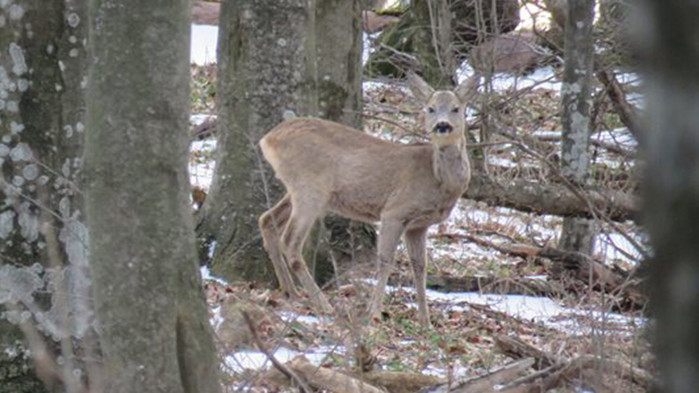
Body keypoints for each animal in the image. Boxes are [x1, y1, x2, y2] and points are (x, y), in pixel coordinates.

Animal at [260, 72, 478, 324]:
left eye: (456, 108)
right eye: (430, 108)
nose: (442, 125)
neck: (437, 178)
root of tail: (268, 138)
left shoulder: (418, 226)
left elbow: (420, 267)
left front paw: (426, 322)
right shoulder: (394, 211)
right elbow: (385, 260)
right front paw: (374, 312)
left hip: (298, 189)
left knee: (267, 220)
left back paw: (291, 292)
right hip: (310, 188)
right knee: (290, 241)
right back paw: (323, 304)